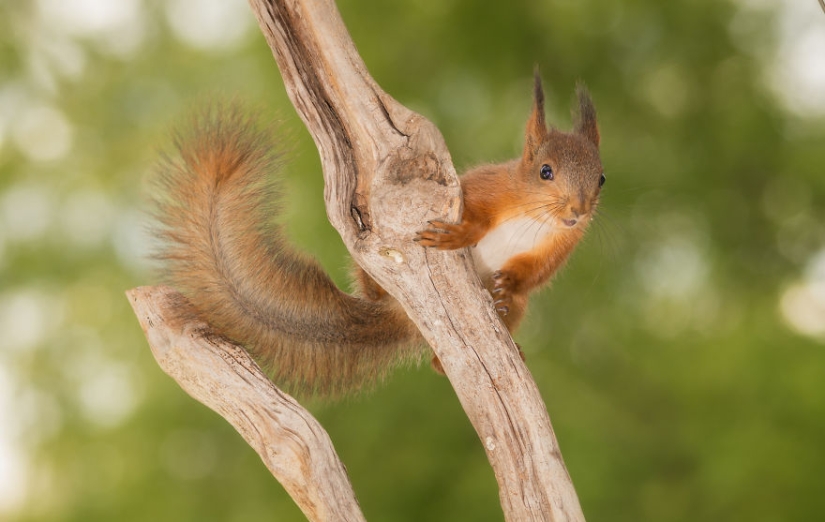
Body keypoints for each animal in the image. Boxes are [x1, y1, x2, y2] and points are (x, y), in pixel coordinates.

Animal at [151, 72, 604, 396]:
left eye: (601, 178)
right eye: (545, 171)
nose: (578, 212)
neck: (537, 218)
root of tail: (401, 313)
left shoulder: (562, 246)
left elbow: (535, 275)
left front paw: (508, 284)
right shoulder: (484, 190)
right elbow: (471, 211)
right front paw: (457, 236)